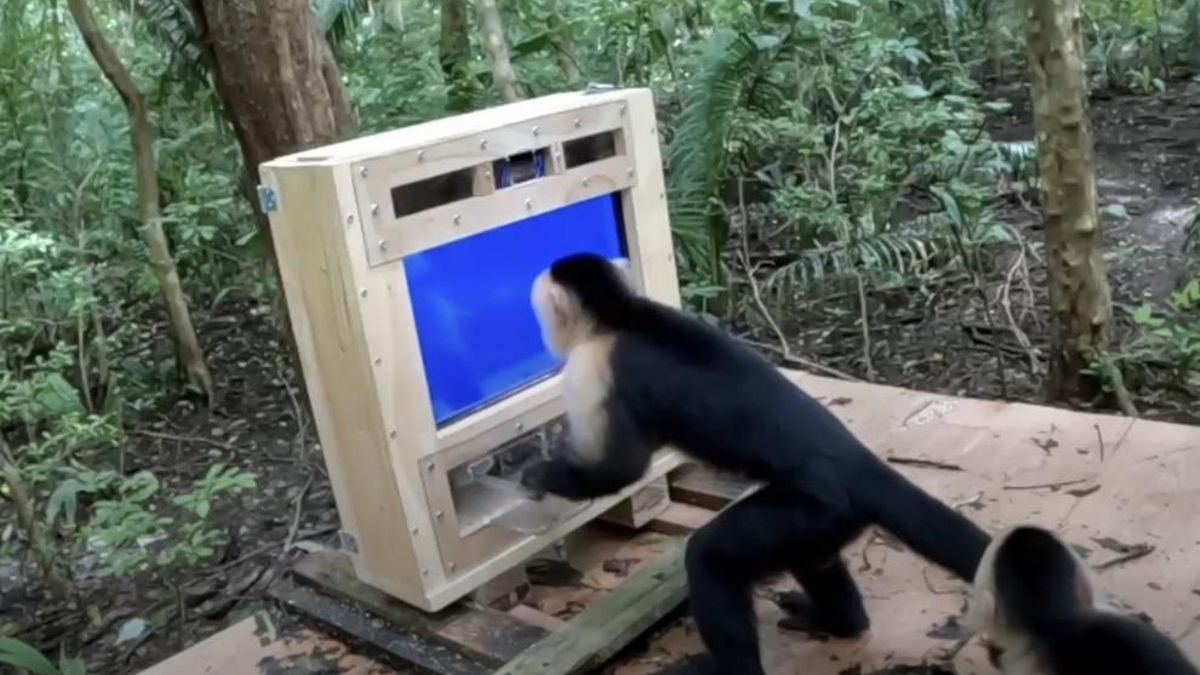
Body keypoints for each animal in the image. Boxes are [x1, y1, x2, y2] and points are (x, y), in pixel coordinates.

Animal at [520, 252, 992, 675]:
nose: (543, 335)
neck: (622, 316)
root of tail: (859, 463)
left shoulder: (589, 368)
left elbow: (621, 470)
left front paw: (538, 474)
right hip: (827, 522)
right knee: (813, 561)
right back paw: (842, 622)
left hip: (813, 509)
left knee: (711, 557)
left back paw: (725, 667)